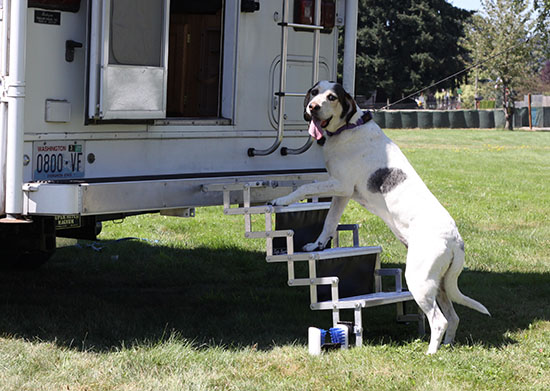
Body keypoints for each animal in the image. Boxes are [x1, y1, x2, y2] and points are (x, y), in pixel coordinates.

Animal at [272, 80, 492, 356]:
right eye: (314, 92)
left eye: (331, 97)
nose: (313, 107)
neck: (348, 127)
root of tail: (455, 240)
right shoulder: (343, 194)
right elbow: (328, 223)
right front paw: (317, 245)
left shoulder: (340, 185)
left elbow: (304, 187)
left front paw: (280, 201)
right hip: (440, 284)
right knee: (453, 317)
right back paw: (447, 346)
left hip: (419, 281)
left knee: (439, 321)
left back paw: (431, 354)